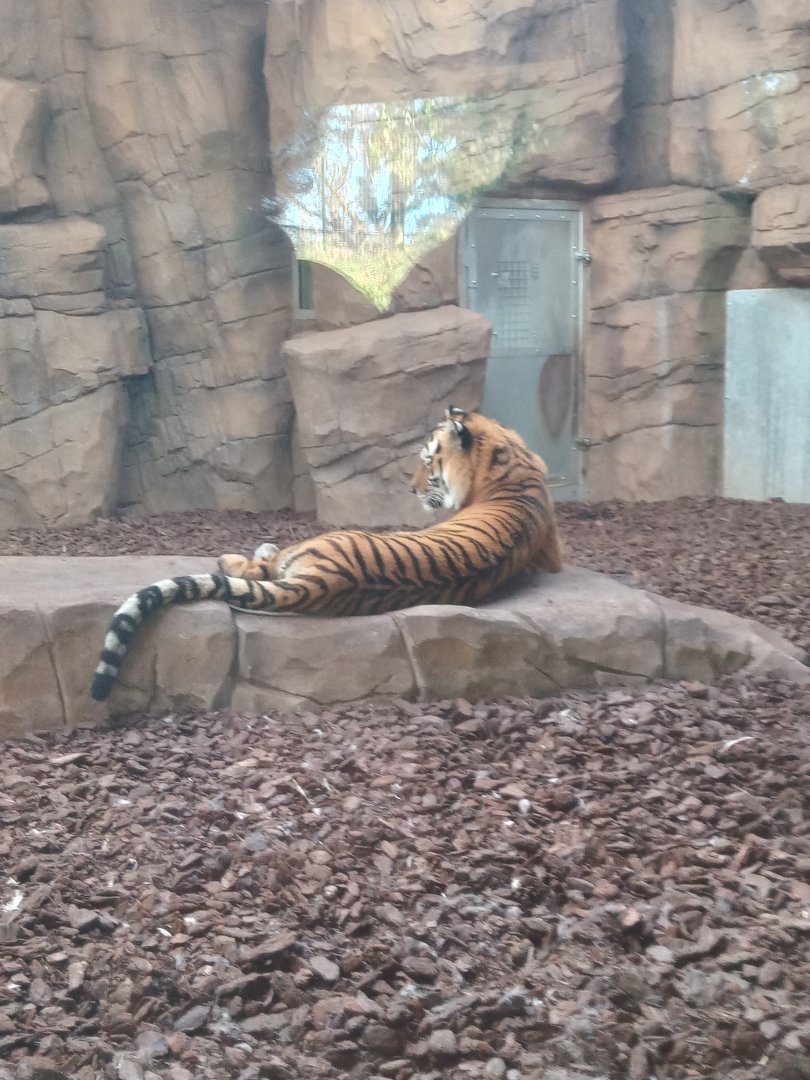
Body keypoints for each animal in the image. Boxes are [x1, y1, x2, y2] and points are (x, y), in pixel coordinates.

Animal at [90, 407, 563, 701]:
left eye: (428, 460)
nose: (410, 489)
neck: (509, 464)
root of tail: (329, 579)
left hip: (308, 546)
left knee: (258, 567)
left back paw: (237, 555)